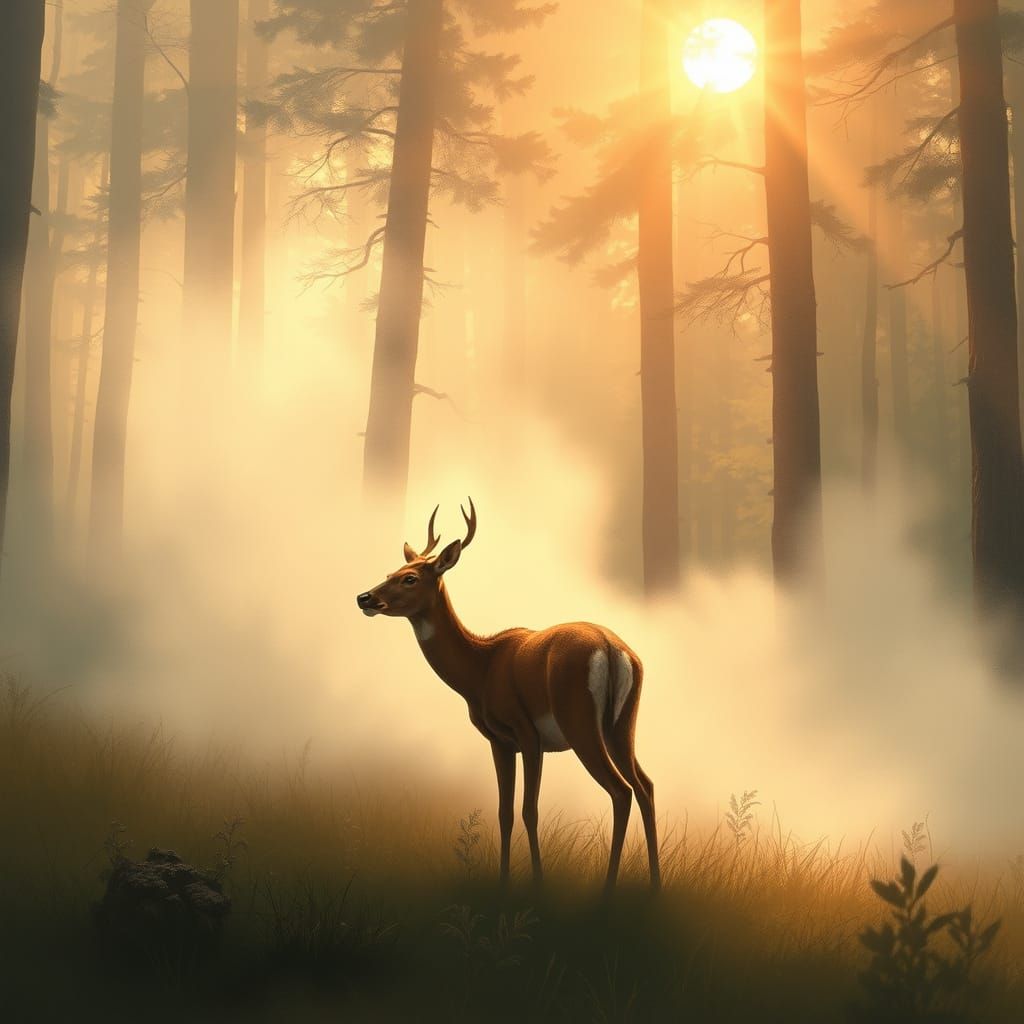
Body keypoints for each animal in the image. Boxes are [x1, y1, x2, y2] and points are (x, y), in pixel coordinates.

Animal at [356, 499, 660, 892]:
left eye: (410, 578)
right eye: (392, 571)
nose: (364, 597)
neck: (480, 670)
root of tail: (610, 649)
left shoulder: (523, 731)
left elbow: (528, 810)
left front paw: (537, 882)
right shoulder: (502, 741)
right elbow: (504, 812)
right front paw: (503, 881)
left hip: (580, 723)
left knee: (620, 790)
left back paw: (608, 890)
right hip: (621, 724)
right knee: (645, 786)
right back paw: (655, 883)